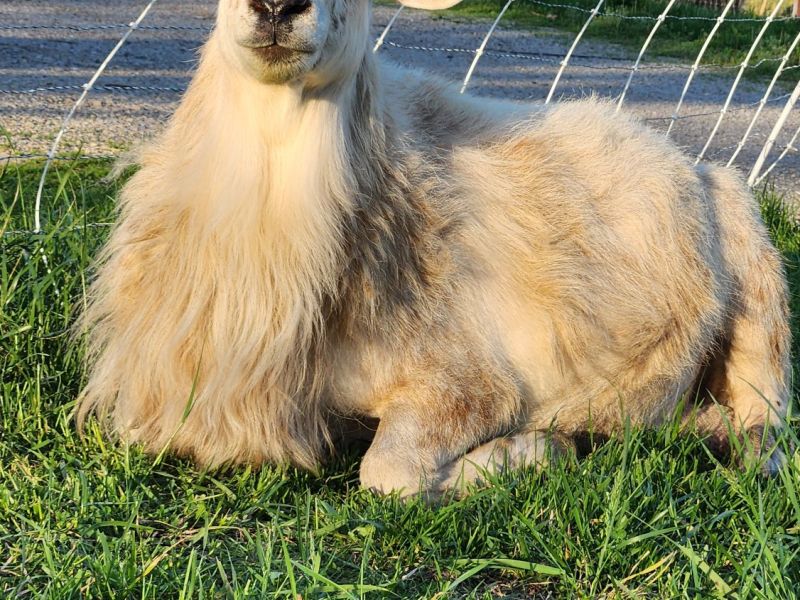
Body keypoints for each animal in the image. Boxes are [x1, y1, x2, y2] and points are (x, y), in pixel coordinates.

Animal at [77, 0, 791, 496]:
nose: (278, 6)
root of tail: (676, 151)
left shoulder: (468, 381)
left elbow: (388, 476)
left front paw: (530, 452)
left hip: (760, 282)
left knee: (768, 429)